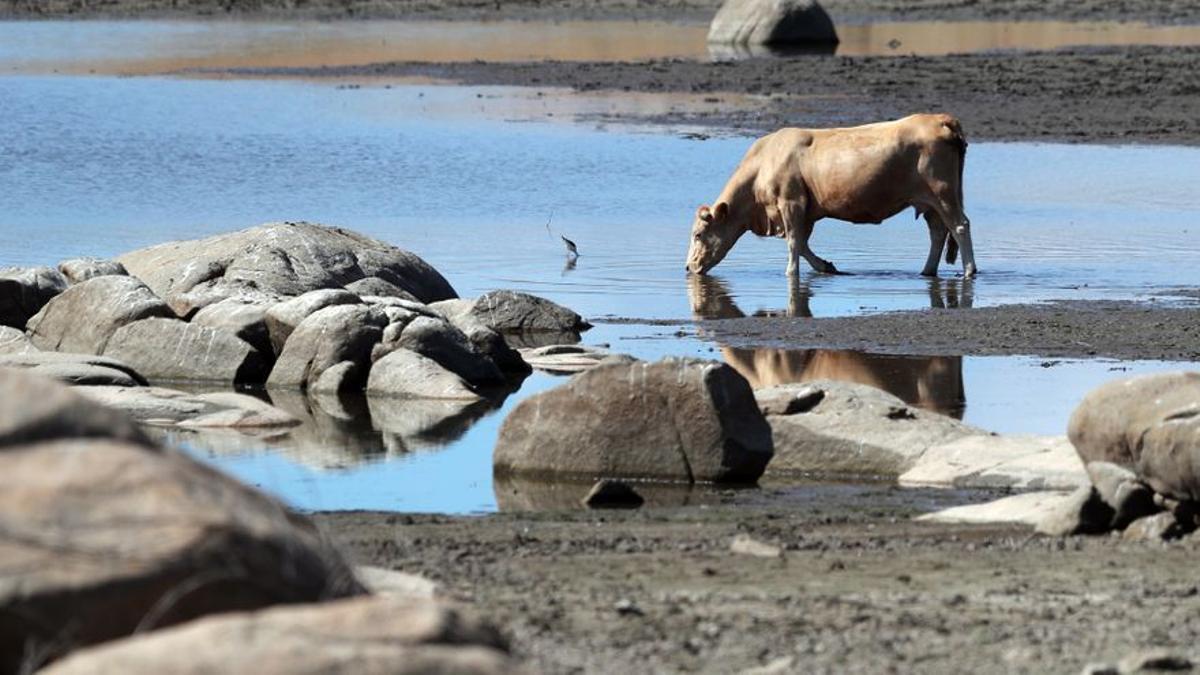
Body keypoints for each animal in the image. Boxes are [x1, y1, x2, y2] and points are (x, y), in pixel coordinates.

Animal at [686, 114, 974, 277]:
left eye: (698, 234)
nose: (688, 267)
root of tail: (940, 119)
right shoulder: (807, 211)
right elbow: (801, 243)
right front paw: (825, 266)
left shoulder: (791, 202)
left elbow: (794, 242)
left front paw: (791, 273)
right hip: (929, 201)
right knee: (938, 232)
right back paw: (927, 271)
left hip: (942, 192)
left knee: (960, 226)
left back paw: (969, 270)